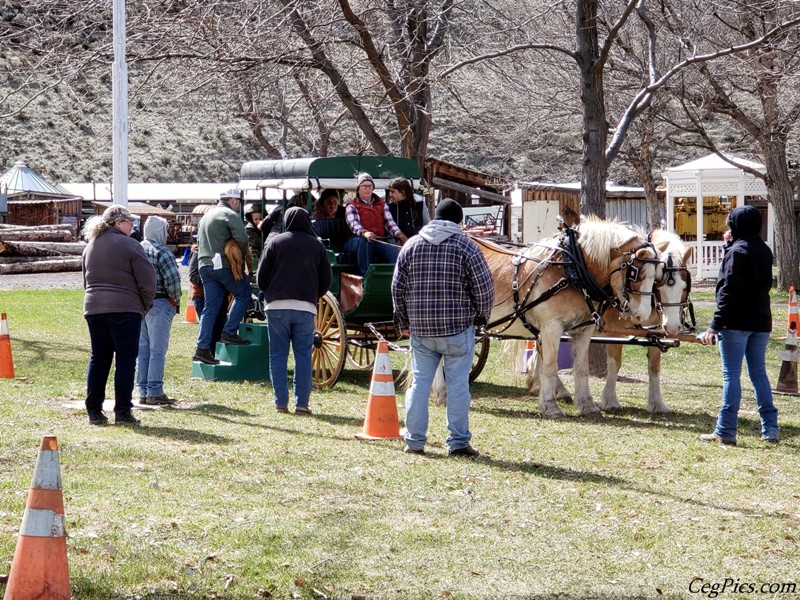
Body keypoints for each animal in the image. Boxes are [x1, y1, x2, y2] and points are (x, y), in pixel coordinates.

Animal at [476, 216, 656, 418]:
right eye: (636, 274)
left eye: (657, 276)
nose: (642, 315)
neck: (572, 269)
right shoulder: (551, 328)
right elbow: (550, 366)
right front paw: (550, 406)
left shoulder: (583, 330)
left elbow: (582, 367)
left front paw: (587, 405)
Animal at [524, 229, 692, 412]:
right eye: (659, 284)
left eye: (685, 287)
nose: (673, 327)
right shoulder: (615, 330)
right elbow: (615, 363)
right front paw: (611, 400)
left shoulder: (654, 331)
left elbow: (654, 366)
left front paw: (657, 403)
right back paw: (558, 389)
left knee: (539, 348)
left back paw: (537, 384)